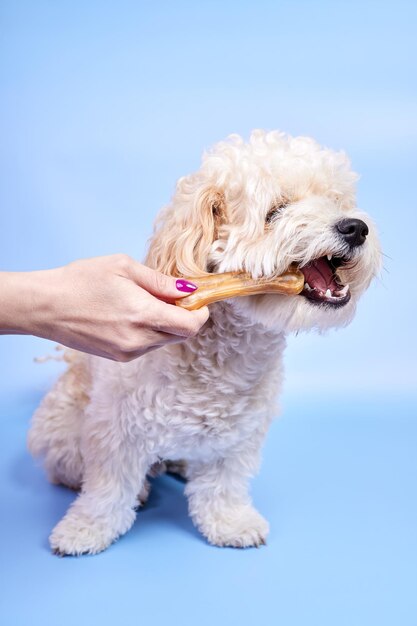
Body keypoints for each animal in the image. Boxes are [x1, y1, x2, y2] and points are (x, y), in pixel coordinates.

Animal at [26, 129, 380, 552]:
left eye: (337, 201)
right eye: (276, 210)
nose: (355, 227)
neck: (225, 357)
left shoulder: (239, 436)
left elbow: (222, 486)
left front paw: (230, 522)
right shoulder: (114, 430)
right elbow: (107, 490)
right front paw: (86, 528)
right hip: (61, 428)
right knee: (67, 469)